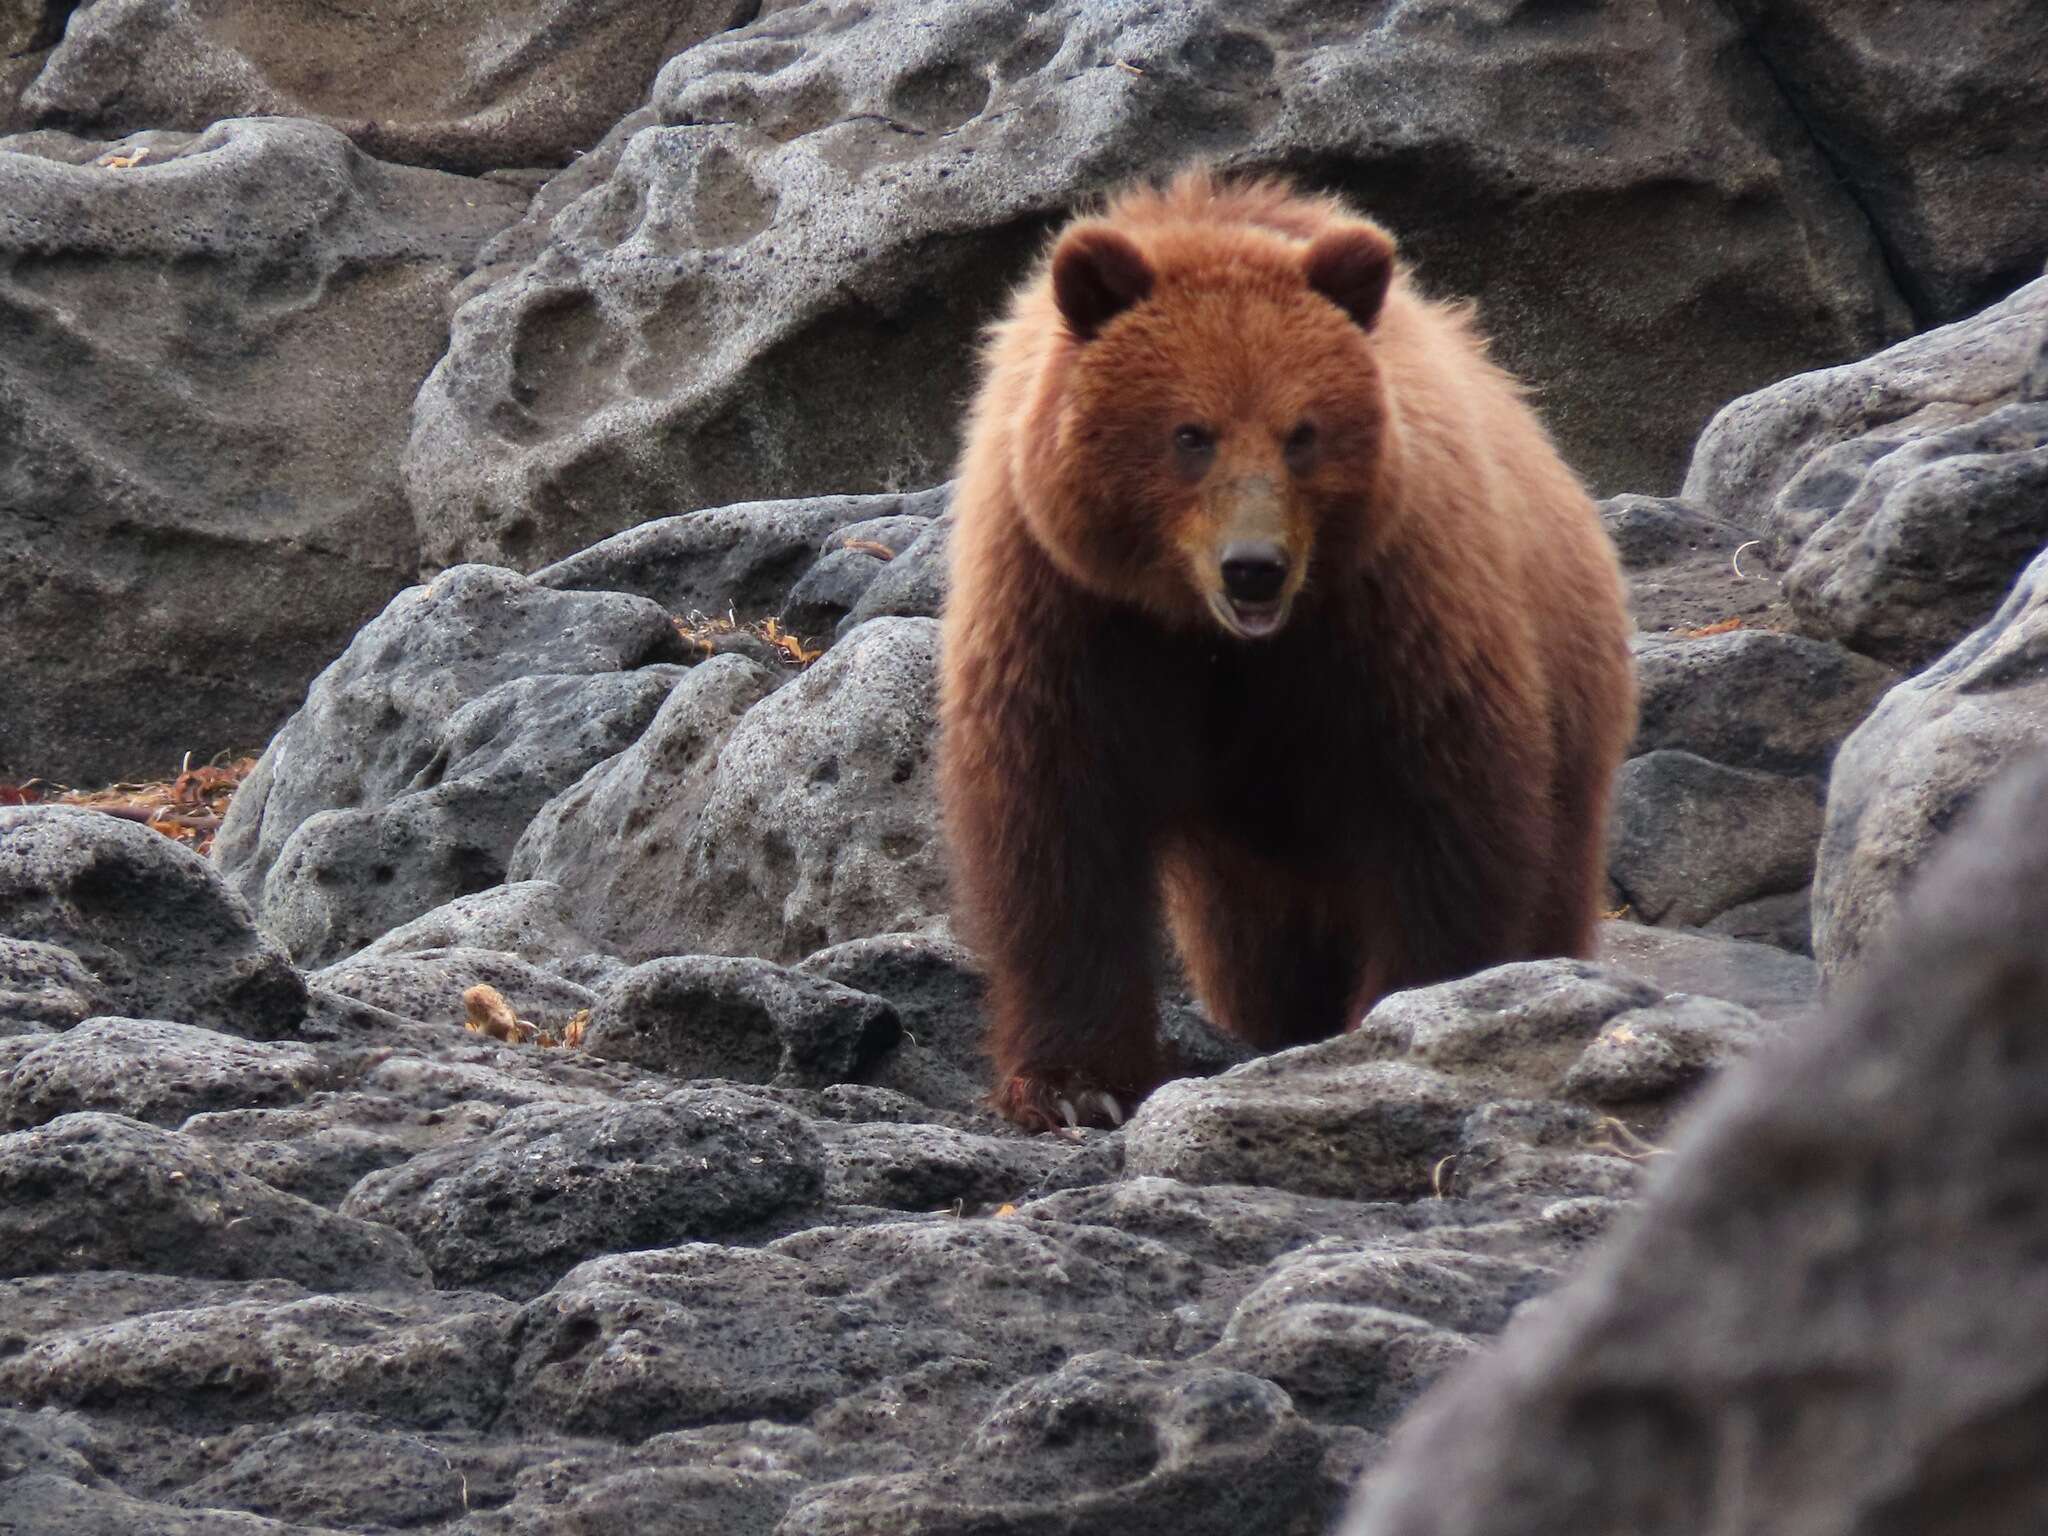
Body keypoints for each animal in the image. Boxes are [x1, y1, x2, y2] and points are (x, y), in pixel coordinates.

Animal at [937, 167, 1630, 1138]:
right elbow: (1056, 828)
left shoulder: (1385, 621)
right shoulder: (1070, 616)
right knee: (1255, 950)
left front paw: (1405, 1019)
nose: (1255, 567)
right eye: (1190, 433)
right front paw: (1078, 1083)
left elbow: (1444, 819)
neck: (1208, 639)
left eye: (1302, 432)